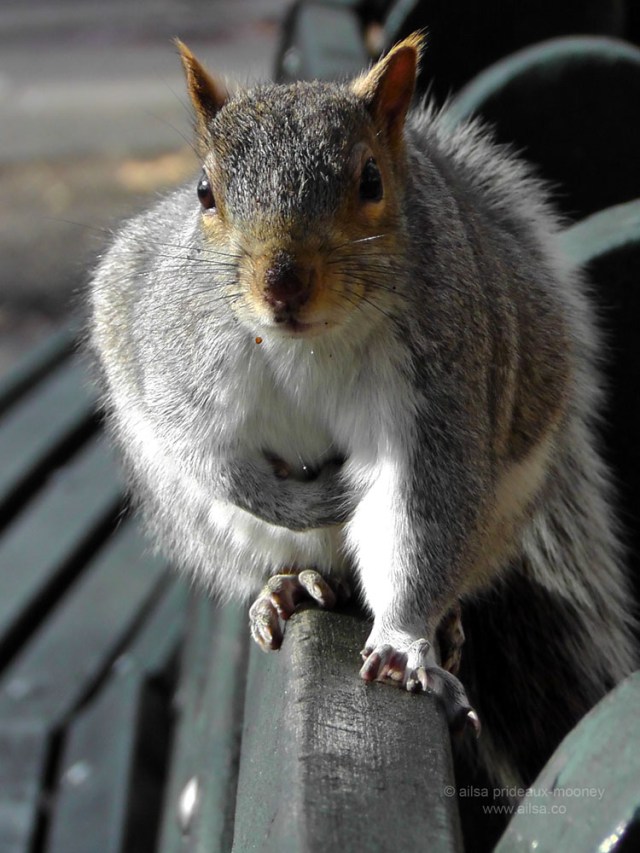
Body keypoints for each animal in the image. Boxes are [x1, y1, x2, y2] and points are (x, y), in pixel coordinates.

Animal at [89, 33, 637, 794]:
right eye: (204, 191)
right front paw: (308, 501)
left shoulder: (438, 389)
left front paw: (405, 640)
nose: (282, 283)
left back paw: (444, 623)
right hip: (202, 521)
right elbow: (201, 449)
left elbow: (418, 510)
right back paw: (290, 583)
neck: (305, 342)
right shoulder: (173, 353)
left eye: (371, 181)